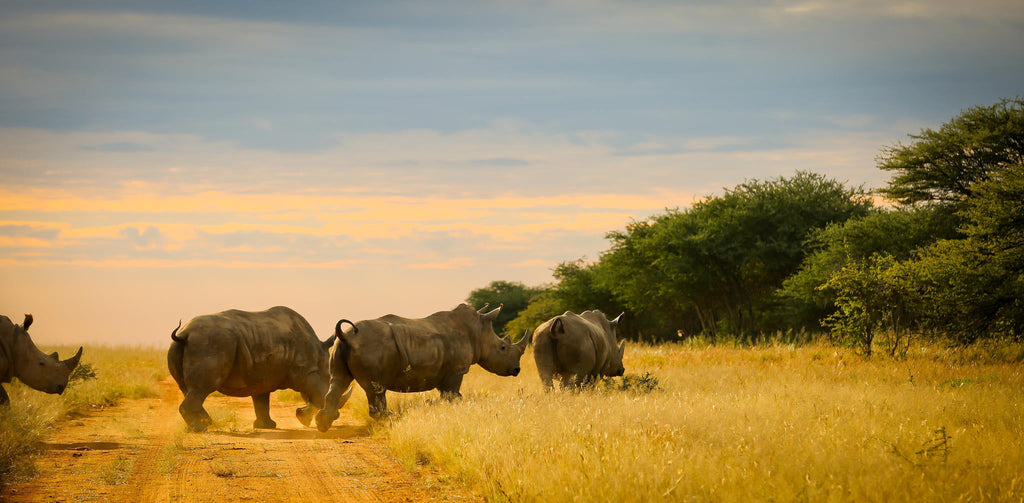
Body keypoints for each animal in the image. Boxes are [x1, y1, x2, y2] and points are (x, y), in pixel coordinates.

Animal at [167, 306, 352, 432]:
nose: (336, 416)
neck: (319, 361)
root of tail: (184, 334)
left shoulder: (262, 376)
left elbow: (262, 401)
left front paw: (267, 426)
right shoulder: (306, 373)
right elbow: (315, 395)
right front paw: (301, 418)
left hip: (181, 346)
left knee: (188, 388)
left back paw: (202, 424)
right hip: (210, 344)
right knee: (201, 389)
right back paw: (200, 429)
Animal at [315, 303, 529, 430]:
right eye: (503, 347)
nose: (516, 370)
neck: (478, 331)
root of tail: (347, 336)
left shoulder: (446, 372)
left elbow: (449, 395)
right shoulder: (456, 370)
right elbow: (453, 395)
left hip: (339, 347)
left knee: (339, 381)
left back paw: (324, 423)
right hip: (370, 347)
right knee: (376, 388)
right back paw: (389, 420)